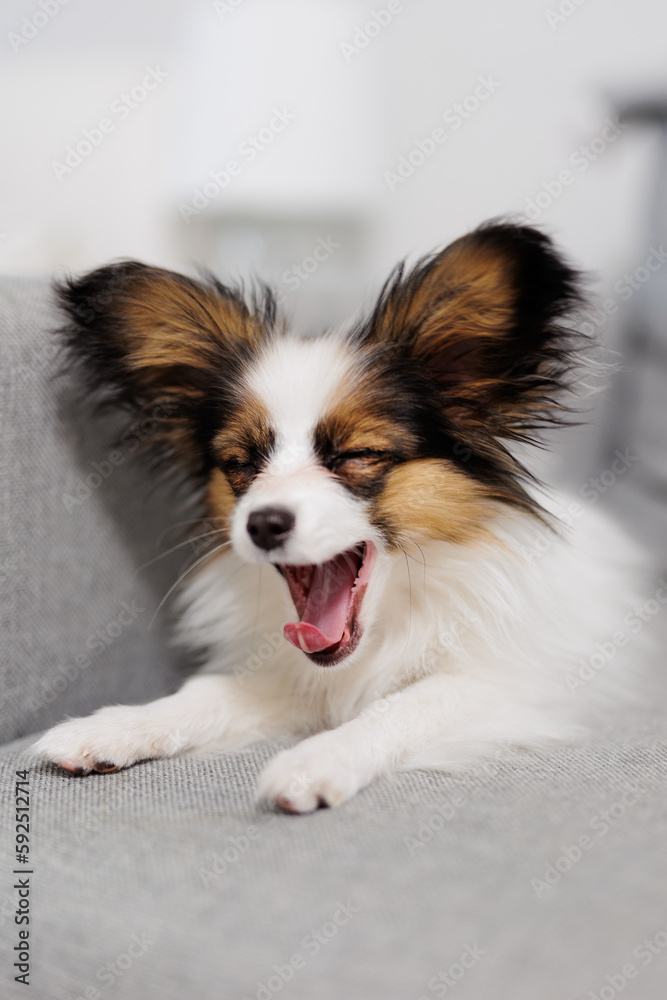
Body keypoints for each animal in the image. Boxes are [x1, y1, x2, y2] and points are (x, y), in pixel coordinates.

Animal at [32, 221, 640, 812]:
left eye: (358, 455)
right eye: (240, 464)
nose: (262, 524)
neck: (390, 620)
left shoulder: (507, 687)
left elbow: (404, 706)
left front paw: (316, 760)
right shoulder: (294, 680)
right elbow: (208, 692)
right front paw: (117, 726)